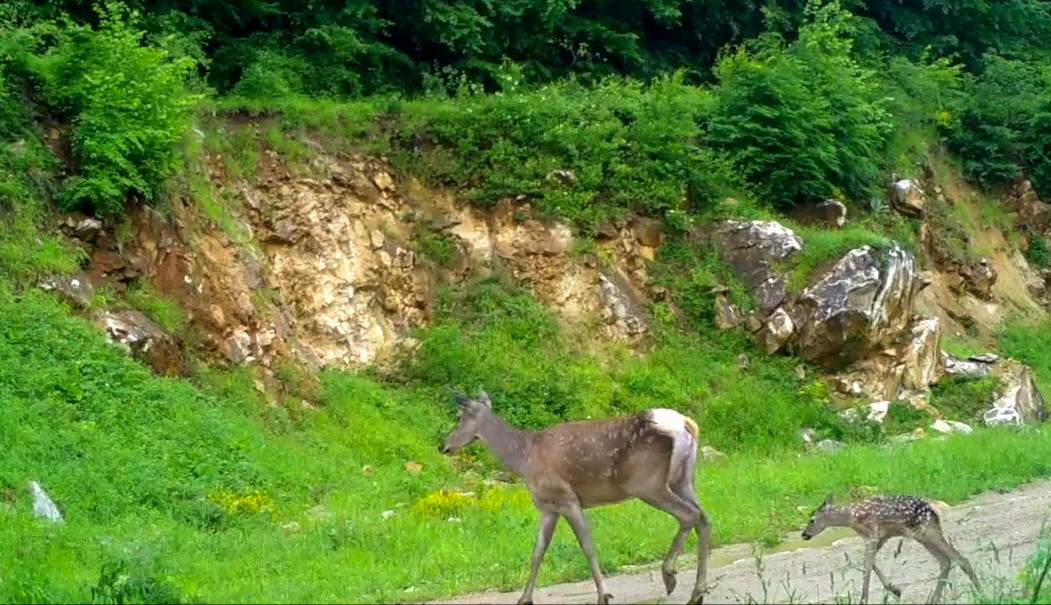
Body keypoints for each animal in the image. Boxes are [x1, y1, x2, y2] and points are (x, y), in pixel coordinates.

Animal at [435, 390, 714, 600]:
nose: (442, 445)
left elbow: (587, 546)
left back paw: (669, 575)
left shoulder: (566, 497)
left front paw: (604, 595)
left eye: (460, 418)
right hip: (683, 479)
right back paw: (697, 592)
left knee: (689, 514)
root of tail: (687, 425)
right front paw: (524, 598)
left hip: (647, 483)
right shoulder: (548, 507)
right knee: (704, 518)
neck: (523, 458)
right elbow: (537, 552)